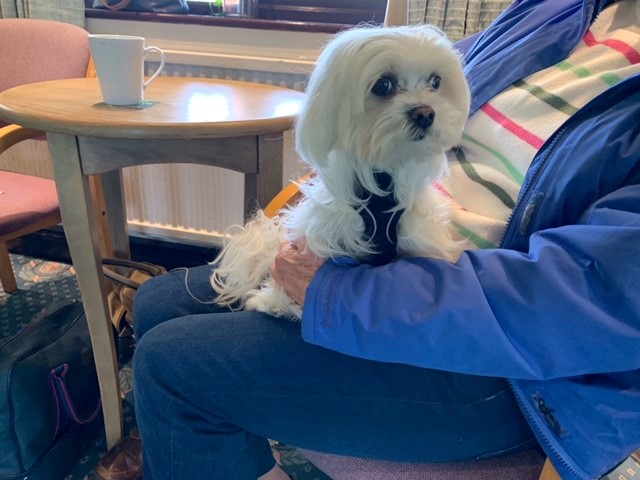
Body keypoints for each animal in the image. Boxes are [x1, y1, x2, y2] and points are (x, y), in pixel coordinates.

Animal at [210, 23, 470, 318]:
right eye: (383, 84)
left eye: (436, 82)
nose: (425, 113)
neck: (384, 180)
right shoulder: (319, 235)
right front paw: (275, 300)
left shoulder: (420, 239)